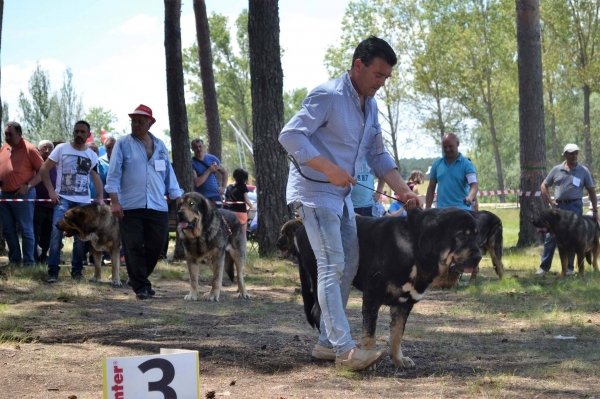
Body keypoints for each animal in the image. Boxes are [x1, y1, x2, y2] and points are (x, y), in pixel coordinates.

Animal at [296, 209, 482, 368]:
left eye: (476, 235)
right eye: (460, 235)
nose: (479, 257)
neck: (414, 250)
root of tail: (299, 229)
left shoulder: (404, 304)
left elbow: (397, 335)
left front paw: (398, 359)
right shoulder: (372, 297)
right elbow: (370, 334)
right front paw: (369, 356)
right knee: (319, 312)